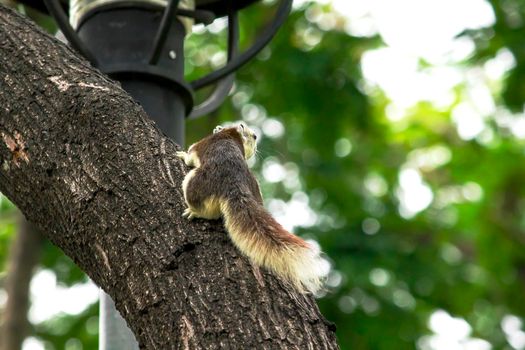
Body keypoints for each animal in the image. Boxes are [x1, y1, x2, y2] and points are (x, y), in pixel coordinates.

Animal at [176, 123, 328, 296]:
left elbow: (190, 156)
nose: (256, 146)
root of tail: (235, 184)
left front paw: (182, 155)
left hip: (195, 182)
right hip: (255, 187)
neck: (231, 134)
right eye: (254, 136)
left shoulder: (198, 146)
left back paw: (193, 211)